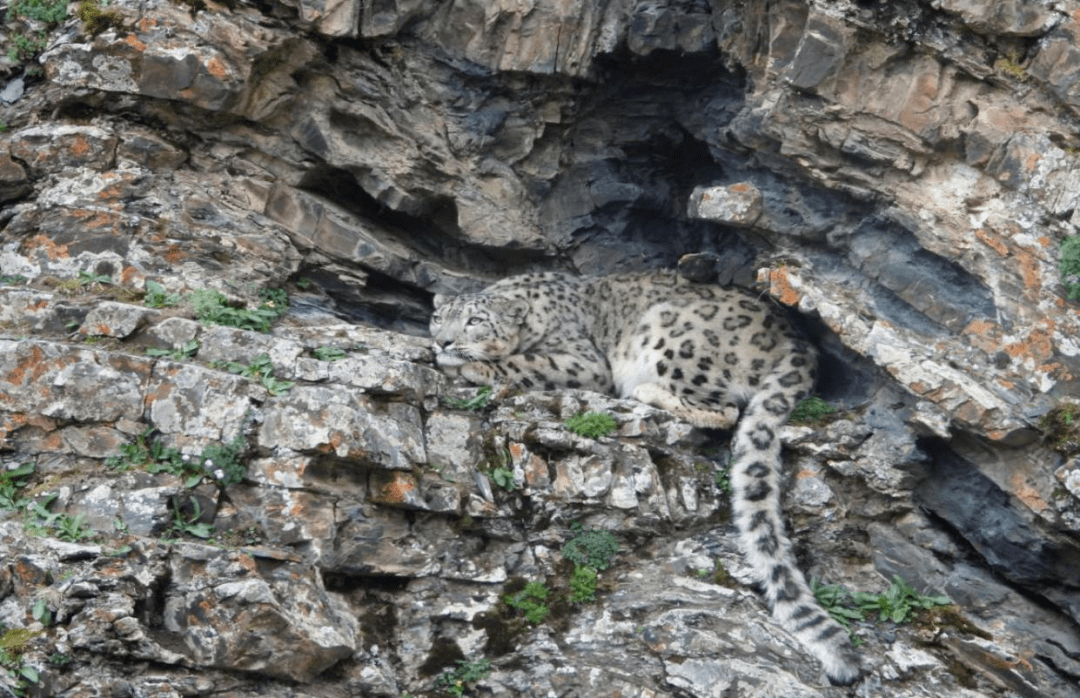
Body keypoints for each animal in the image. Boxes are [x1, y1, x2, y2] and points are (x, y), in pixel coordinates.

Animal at [429, 271, 859, 687]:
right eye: (438, 316)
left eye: (475, 321)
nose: (441, 340)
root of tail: (796, 337)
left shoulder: (582, 361)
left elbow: (524, 363)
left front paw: (471, 365)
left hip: (673, 337)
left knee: (726, 410)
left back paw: (647, 391)